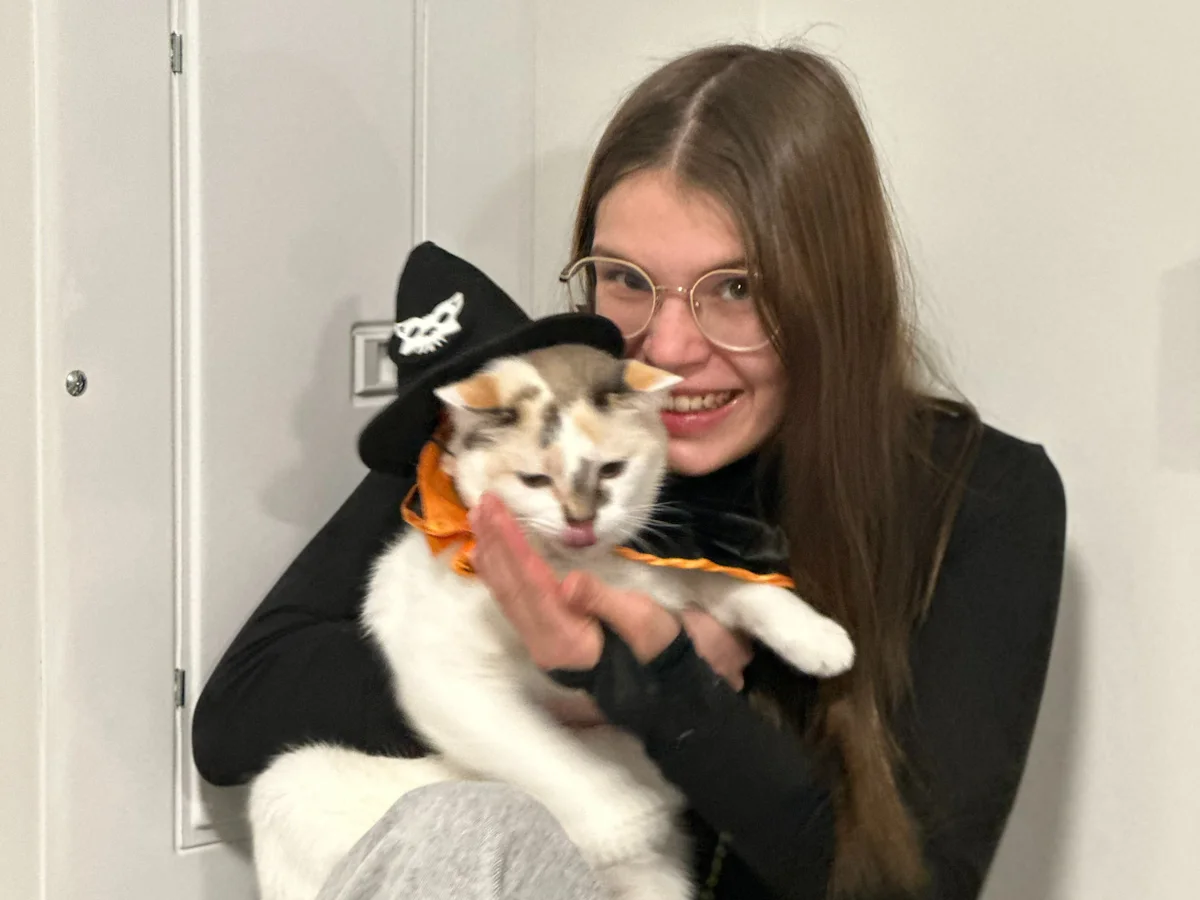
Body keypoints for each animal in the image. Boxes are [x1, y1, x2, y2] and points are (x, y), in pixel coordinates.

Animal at [250, 345, 854, 900]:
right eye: (535, 479)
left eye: (612, 469)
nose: (581, 521)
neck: (588, 569)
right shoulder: (451, 676)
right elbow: (542, 749)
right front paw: (621, 817)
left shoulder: (668, 574)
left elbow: (738, 586)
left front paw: (819, 637)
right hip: (295, 781)